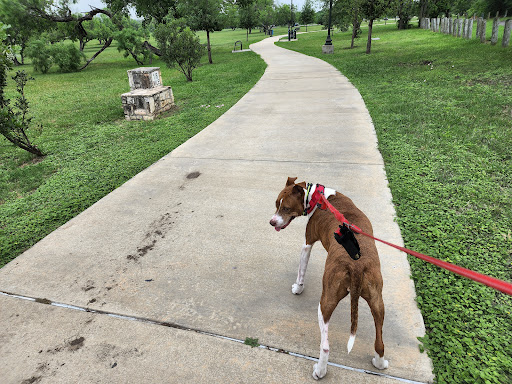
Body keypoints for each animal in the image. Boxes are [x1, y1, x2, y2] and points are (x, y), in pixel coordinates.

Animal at [270, 178, 386, 380]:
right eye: (277, 204)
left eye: (285, 208)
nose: (272, 222)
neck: (318, 196)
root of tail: (356, 266)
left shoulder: (307, 243)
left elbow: (301, 271)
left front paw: (298, 288)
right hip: (377, 299)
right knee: (379, 342)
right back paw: (380, 363)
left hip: (326, 301)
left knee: (325, 346)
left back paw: (320, 371)